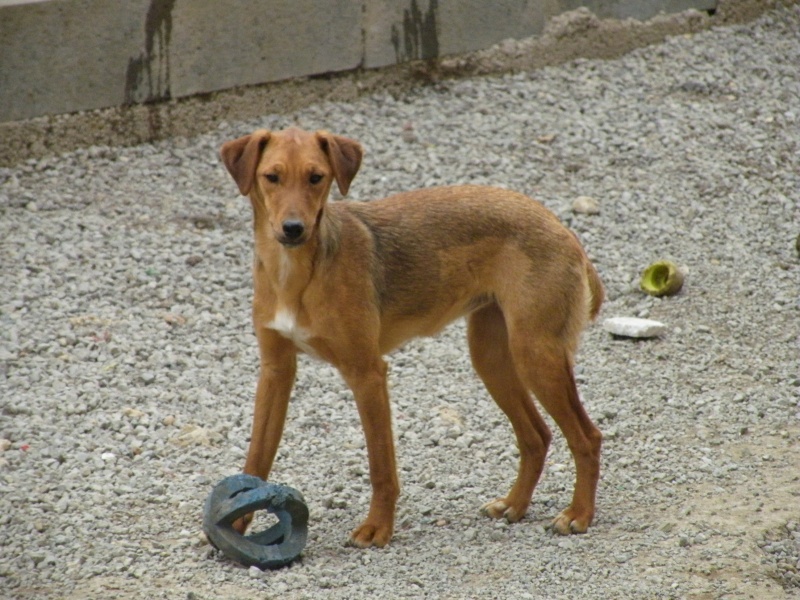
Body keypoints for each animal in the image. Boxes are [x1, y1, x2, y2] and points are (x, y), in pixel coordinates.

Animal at [222, 127, 604, 548]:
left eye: (316, 177)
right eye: (271, 177)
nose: (293, 229)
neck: (295, 275)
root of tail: (560, 227)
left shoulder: (367, 374)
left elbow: (380, 467)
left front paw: (378, 527)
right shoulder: (276, 371)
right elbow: (257, 456)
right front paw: (235, 523)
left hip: (536, 356)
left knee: (587, 437)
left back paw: (578, 514)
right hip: (493, 358)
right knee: (536, 436)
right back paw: (514, 504)